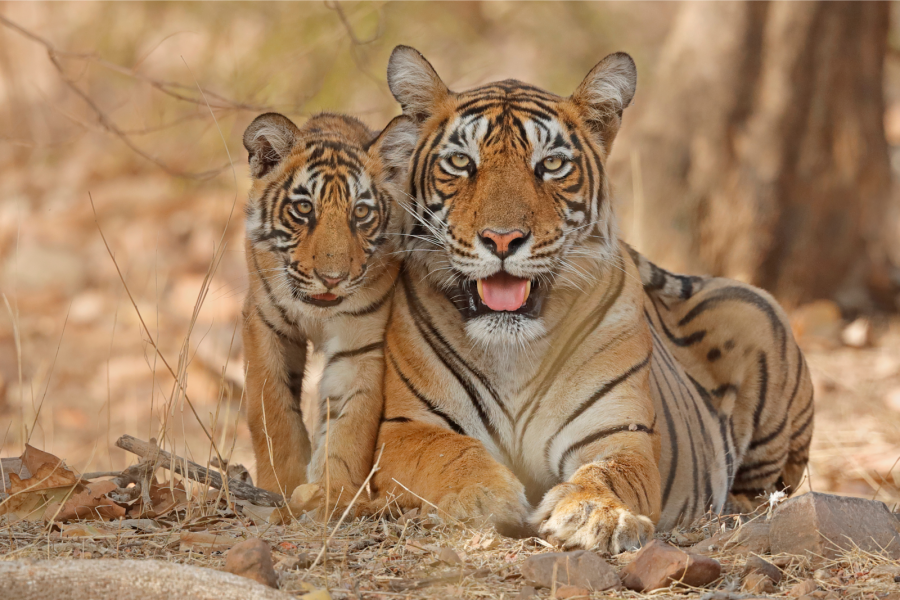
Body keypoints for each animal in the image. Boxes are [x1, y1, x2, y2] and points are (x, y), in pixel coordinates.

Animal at [243, 111, 418, 502]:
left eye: (362, 212)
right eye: (304, 208)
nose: (332, 278)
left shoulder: (360, 343)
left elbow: (350, 423)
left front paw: (333, 493)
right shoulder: (267, 327)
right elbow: (273, 412)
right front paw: (281, 485)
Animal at [370, 48, 812, 552]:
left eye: (551, 165)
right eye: (461, 162)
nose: (502, 239)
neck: (513, 351)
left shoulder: (620, 433)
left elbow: (609, 473)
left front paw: (591, 513)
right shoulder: (404, 428)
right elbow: (448, 453)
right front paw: (483, 497)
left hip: (755, 309)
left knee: (767, 489)